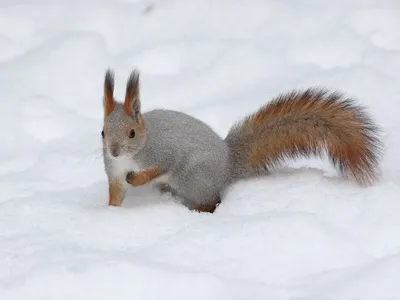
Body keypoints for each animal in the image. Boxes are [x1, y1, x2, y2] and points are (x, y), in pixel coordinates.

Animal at [100, 68, 382, 213]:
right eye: (102, 132)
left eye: (132, 133)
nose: (113, 151)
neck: (129, 157)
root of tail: (228, 164)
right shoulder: (112, 172)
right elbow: (116, 191)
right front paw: (111, 213)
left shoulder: (164, 152)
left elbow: (159, 167)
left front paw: (137, 179)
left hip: (193, 177)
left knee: (210, 200)